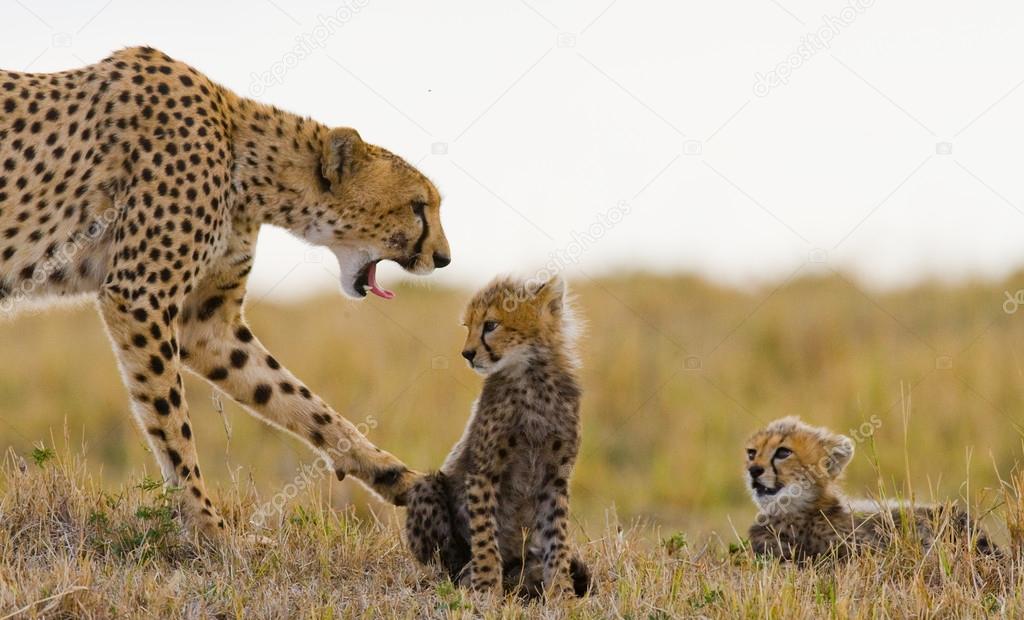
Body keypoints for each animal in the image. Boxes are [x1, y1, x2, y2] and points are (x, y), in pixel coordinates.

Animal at [0, 48, 452, 541]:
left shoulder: (206, 325)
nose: (444, 258)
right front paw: (208, 529)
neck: (246, 160)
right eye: (418, 207)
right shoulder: (140, 296)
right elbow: (173, 425)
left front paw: (396, 476)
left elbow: (298, 399)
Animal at [401, 274, 589, 594]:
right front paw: (487, 586)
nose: (467, 354)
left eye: (490, 324)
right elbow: (485, 535)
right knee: (448, 559)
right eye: (467, 326)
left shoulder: (555, 478)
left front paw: (562, 592)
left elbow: (557, 538)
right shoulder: (483, 471)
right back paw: (465, 575)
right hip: (426, 490)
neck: (531, 376)